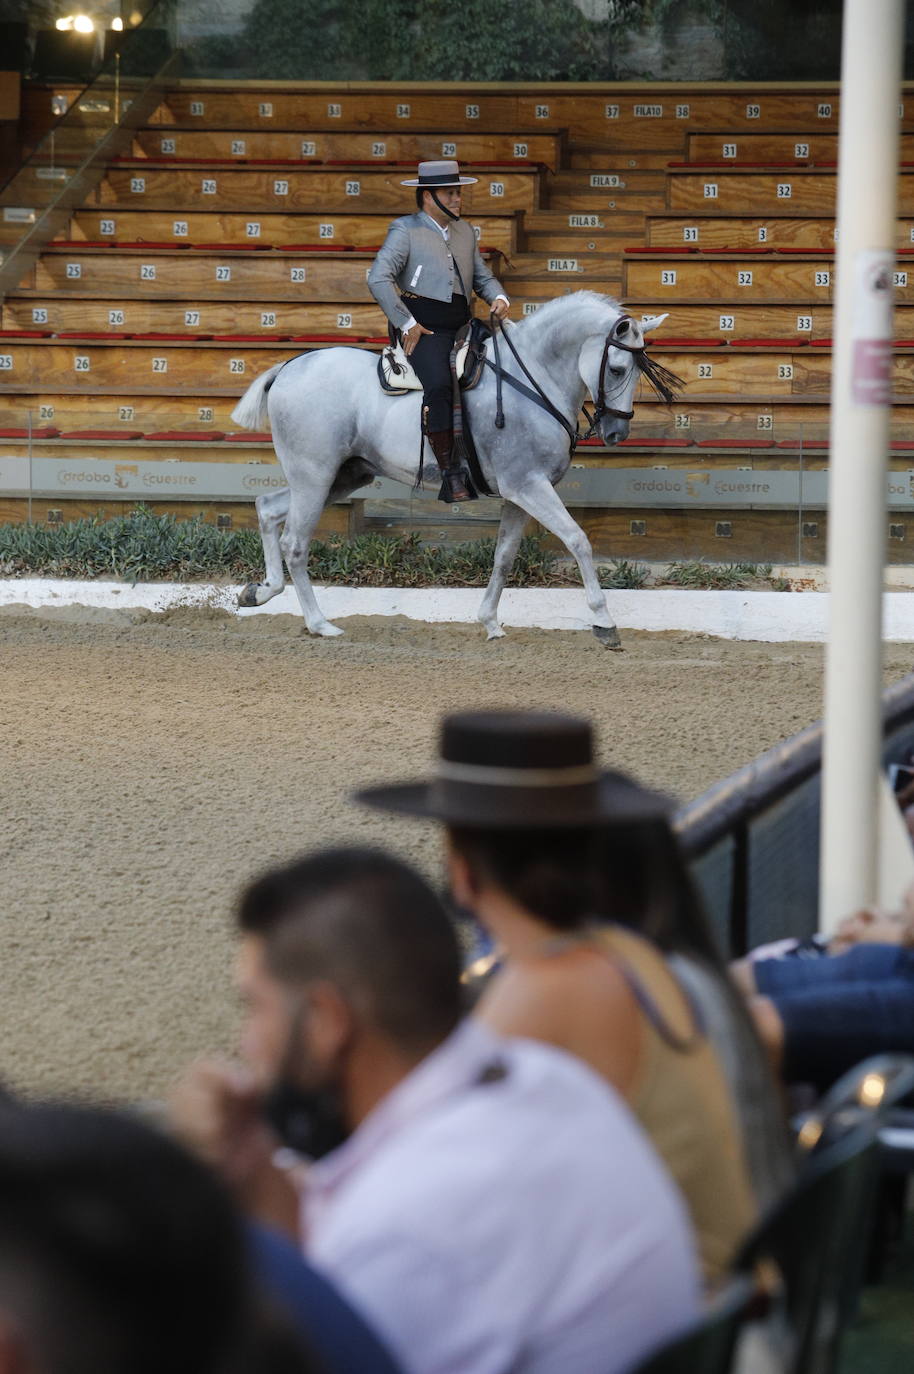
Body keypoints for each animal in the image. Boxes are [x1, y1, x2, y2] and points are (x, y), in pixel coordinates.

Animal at [228, 292, 676, 645]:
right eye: (617, 369)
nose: (616, 432)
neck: (531, 378)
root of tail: (289, 367)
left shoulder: (519, 493)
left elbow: (504, 556)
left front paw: (490, 622)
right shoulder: (529, 486)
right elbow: (578, 540)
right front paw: (604, 621)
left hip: (343, 476)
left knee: (268, 507)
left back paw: (260, 591)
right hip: (315, 477)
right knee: (295, 543)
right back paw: (320, 624)